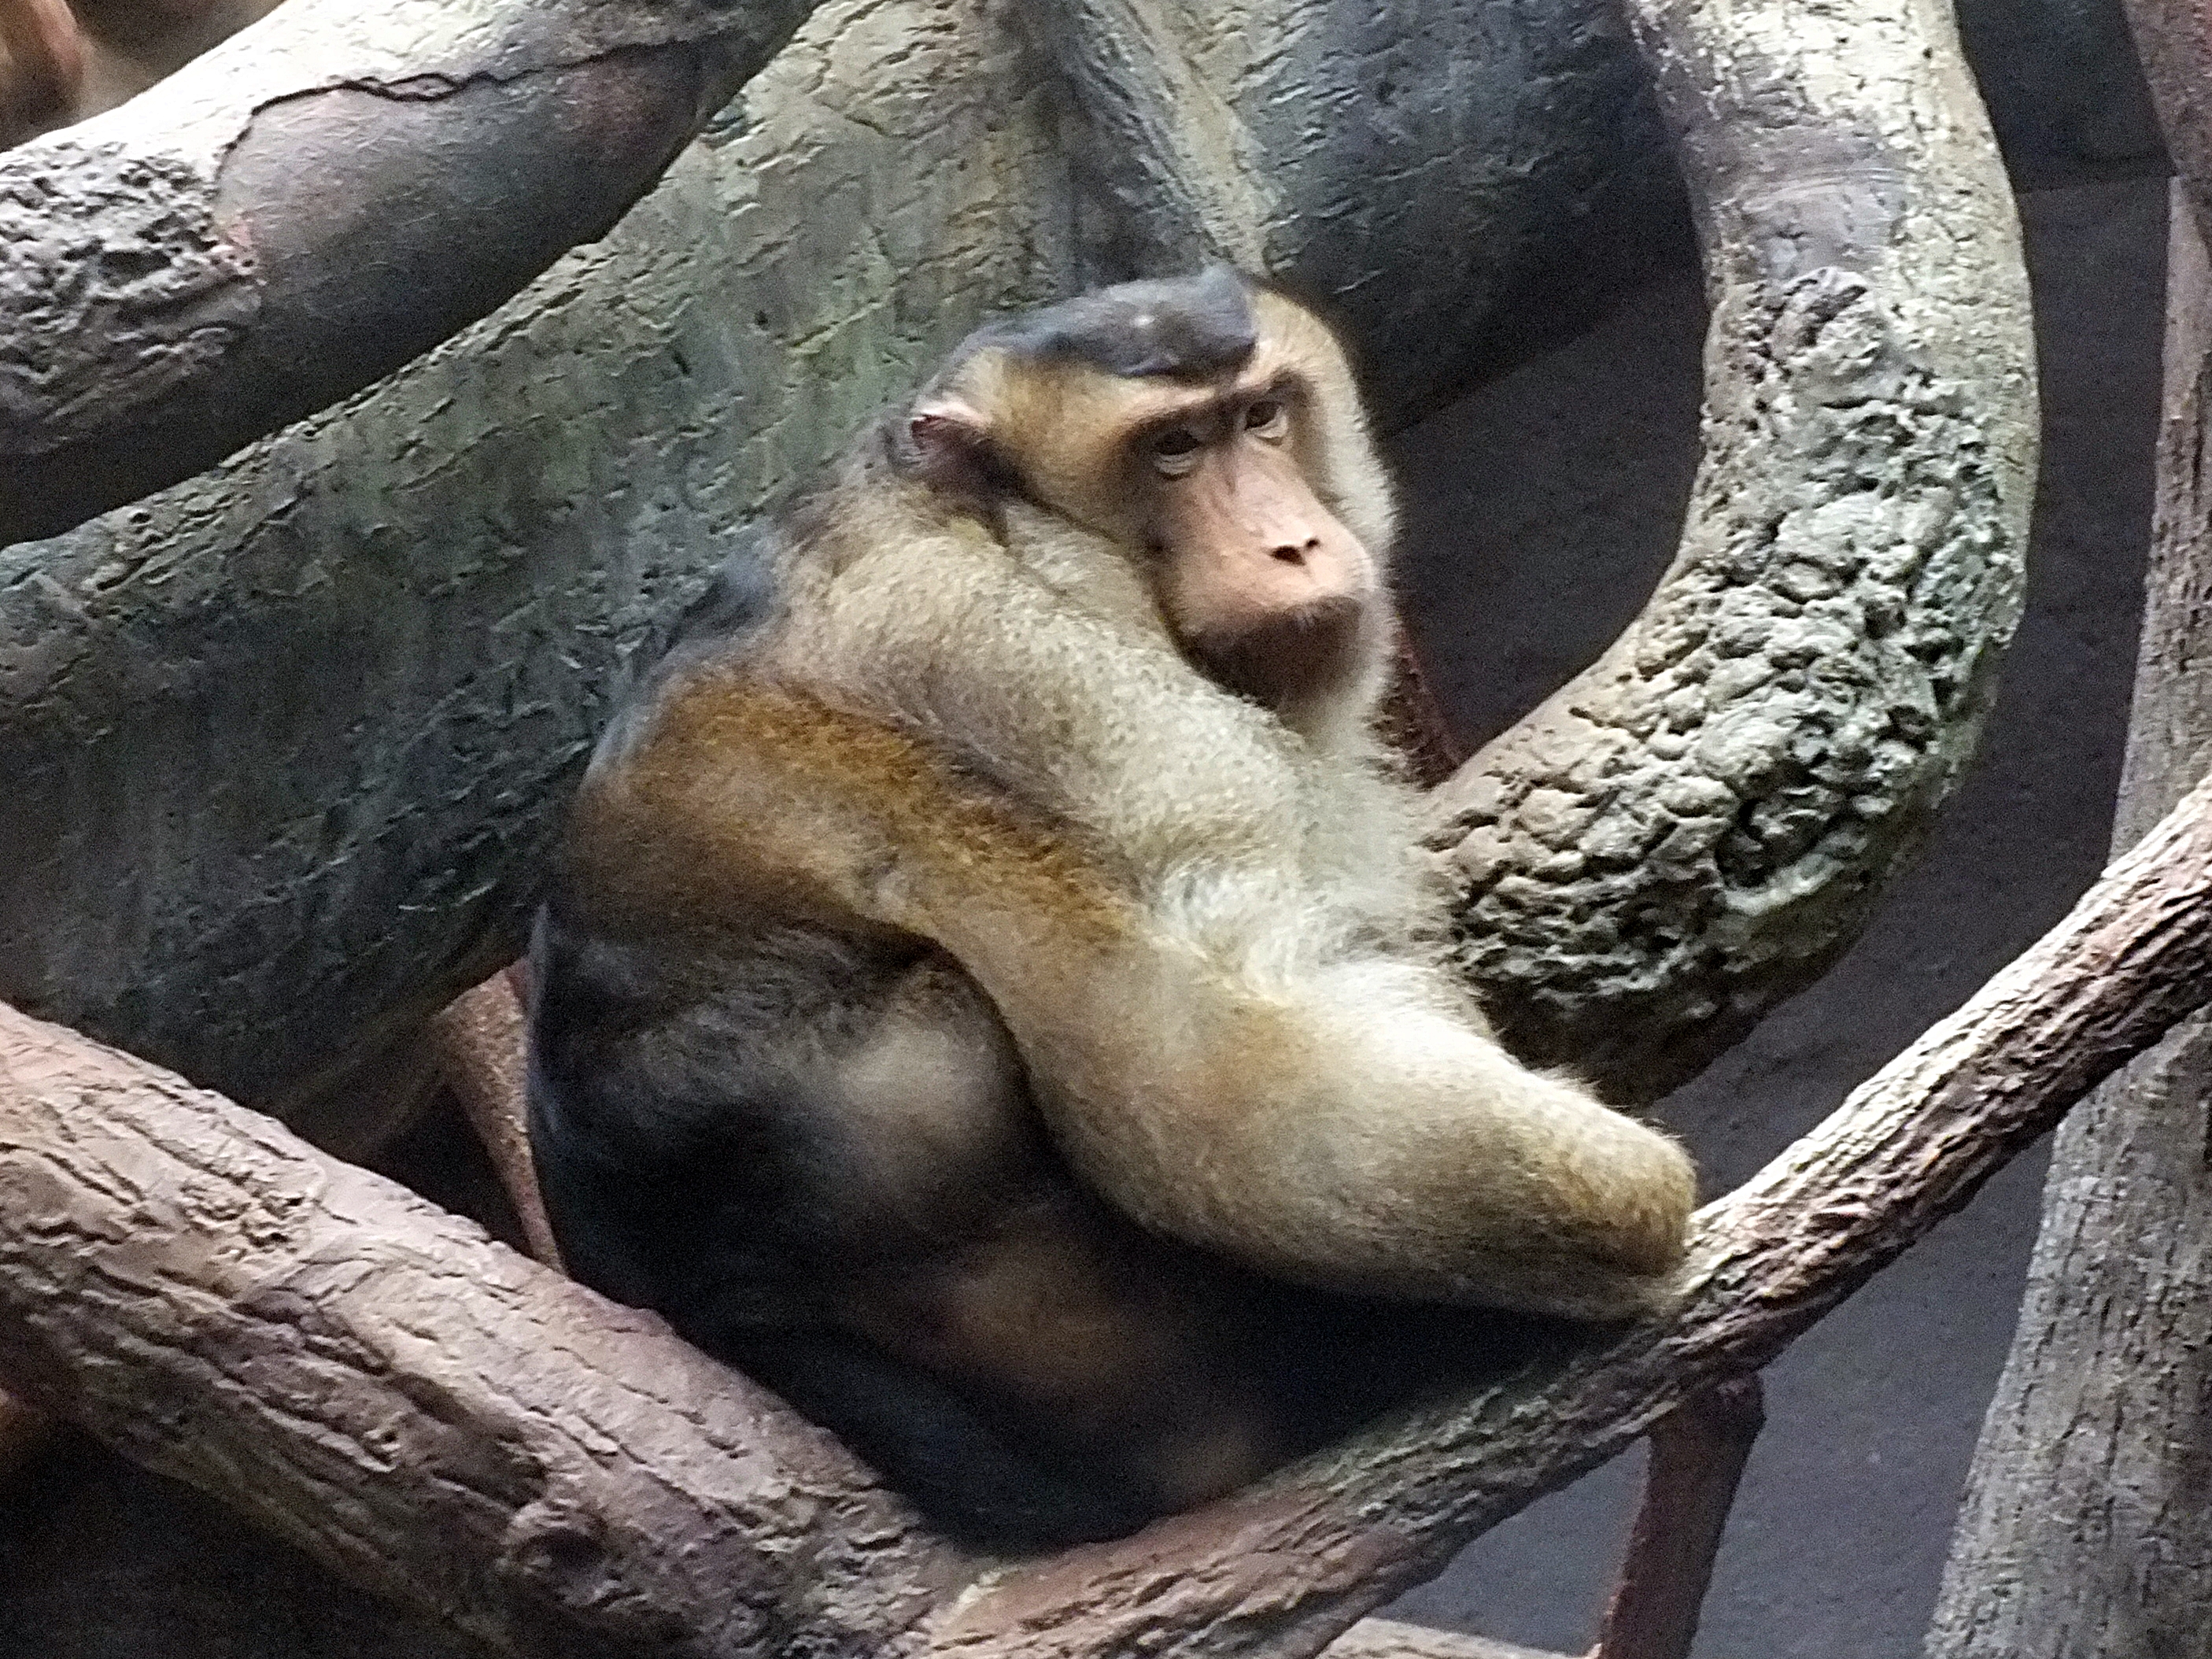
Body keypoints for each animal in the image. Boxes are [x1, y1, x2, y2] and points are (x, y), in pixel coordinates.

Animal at [526, 268, 1696, 1544]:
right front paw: (1634, 1197)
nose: (1294, 540)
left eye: (1259, 417)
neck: (982, 502)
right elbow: (1210, 1079)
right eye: (1172, 448)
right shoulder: (1039, 665)